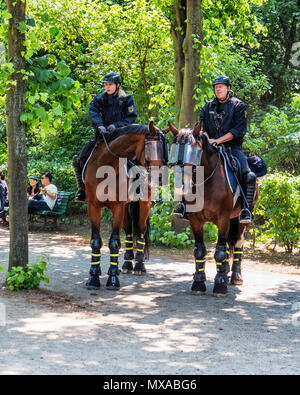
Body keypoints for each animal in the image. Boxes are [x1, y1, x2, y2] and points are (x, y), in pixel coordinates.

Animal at [84, 120, 164, 290]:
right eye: (151, 148)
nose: (159, 178)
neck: (105, 166)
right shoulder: (93, 207)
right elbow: (95, 241)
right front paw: (93, 276)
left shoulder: (117, 207)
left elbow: (114, 242)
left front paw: (113, 280)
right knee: (128, 231)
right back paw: (126, 264)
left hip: (144, 204)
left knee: (140, 230)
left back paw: (139, 265)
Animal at [166, 123, 258, 296]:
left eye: (194, 151)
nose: (180, 183)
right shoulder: (195, 220)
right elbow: (200, 251)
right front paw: (198, 283)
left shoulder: (223, 219)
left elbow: (220, 251)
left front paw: (220, 285)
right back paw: (225, 271)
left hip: (240, 219)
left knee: (238, 243)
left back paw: (235, 276)